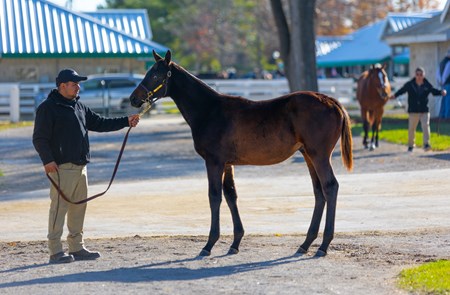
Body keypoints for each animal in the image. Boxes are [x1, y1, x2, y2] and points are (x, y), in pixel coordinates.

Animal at [128, 49, 354, 258]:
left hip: (319, 156)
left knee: (330, 187)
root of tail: (332, 102)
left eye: (155, 75)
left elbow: (214, 196)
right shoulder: (228, 163)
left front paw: (209, 244)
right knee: (319, 191)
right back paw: (305, 244)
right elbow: (231, 195)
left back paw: (323, 246)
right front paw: (235, 243)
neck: (210, 110)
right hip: (308, 155)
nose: (133, 99)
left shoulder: (214, 162)